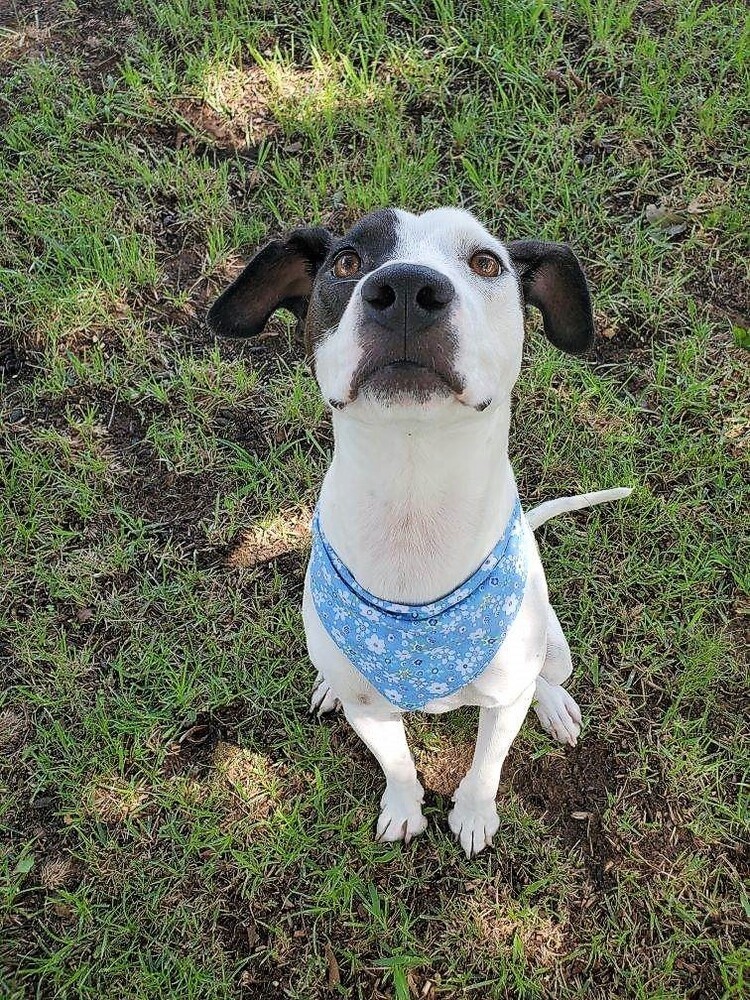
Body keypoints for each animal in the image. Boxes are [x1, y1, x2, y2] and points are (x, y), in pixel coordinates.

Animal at [209, 205, 632, 860]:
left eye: (486, 262)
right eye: (347, 260)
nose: (406, 291)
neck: (415, 493)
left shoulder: (503, 702)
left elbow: (487, 766)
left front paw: (475, 815)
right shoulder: (370, 710)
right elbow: (399, 764)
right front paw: (405, 810)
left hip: (553, 649)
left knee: (545, 678)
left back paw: (556, 705)